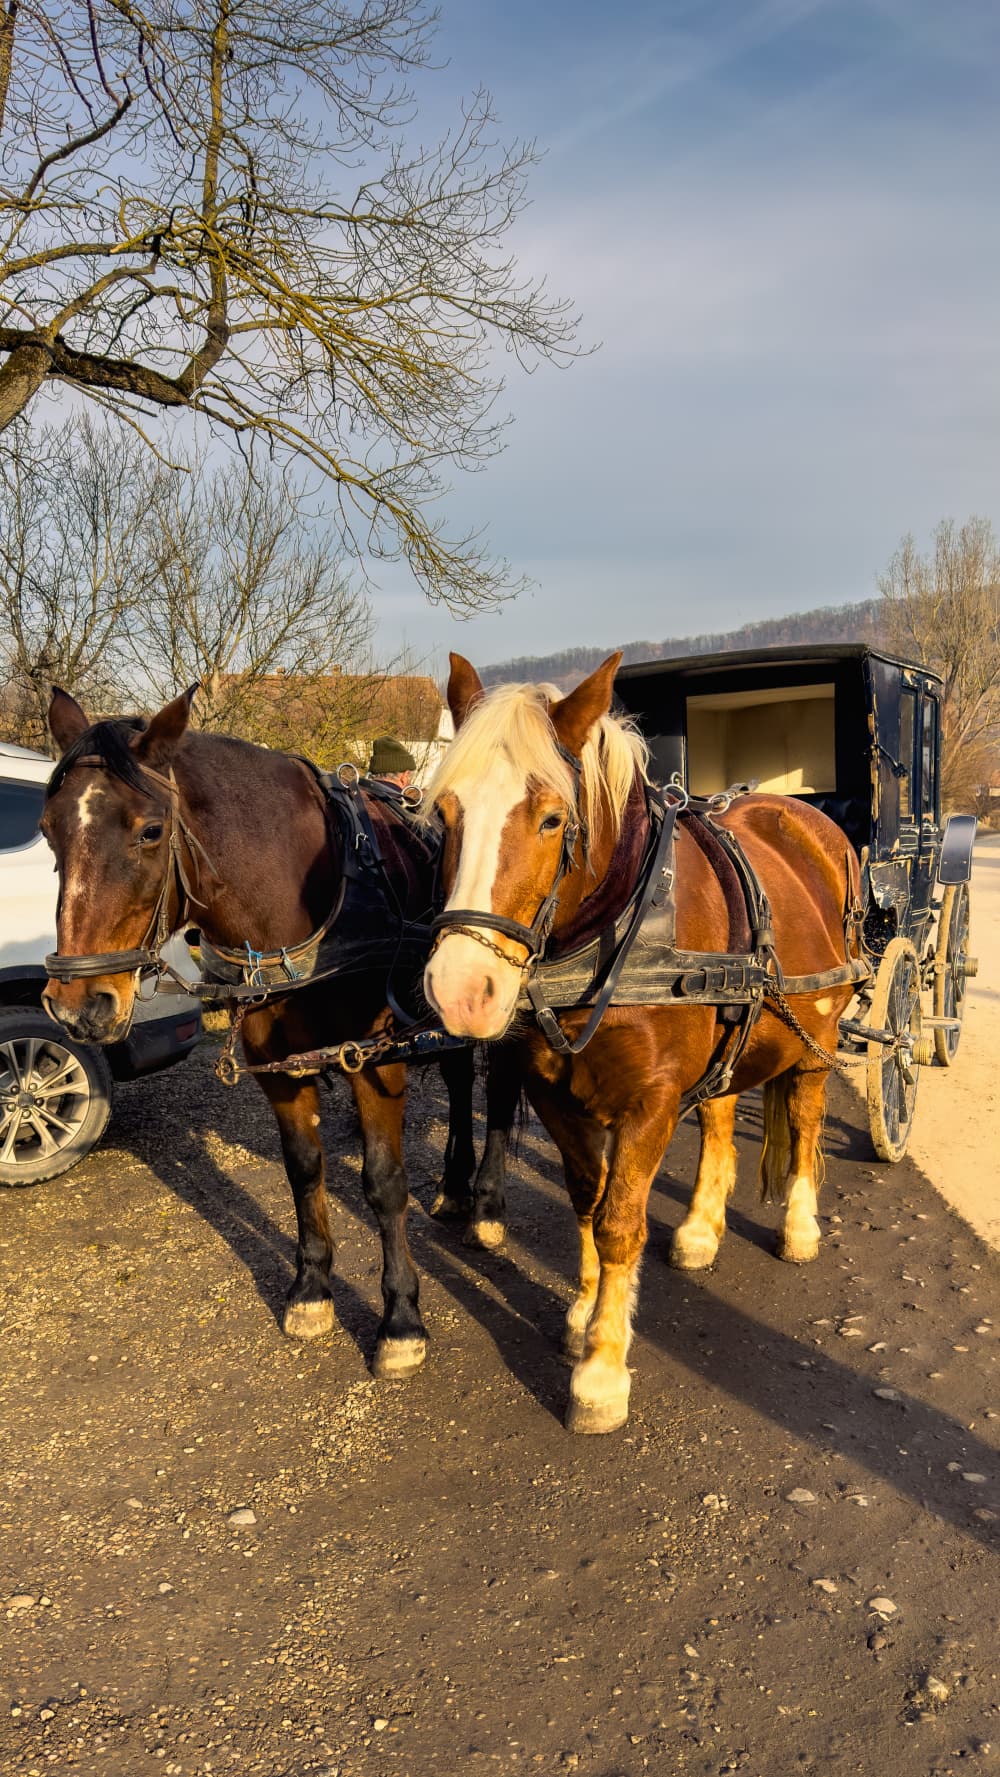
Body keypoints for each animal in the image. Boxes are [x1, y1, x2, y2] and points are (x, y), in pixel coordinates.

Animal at [40, 685, 515, 1378]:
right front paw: (312, 1290)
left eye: (150, 831)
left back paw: (486, 1206)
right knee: (457, 1081)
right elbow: (304, 1170)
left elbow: (383, 1183)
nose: (78, 1005)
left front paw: (401, 1320)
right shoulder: (280, 1069)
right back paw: (454, 1189)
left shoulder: (374, 1061)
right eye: (49, 831)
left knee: (500, 1094)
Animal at [422, 653, 870, 1428]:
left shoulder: (652, 1103)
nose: (459, 989)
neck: (621, 930)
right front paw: (582, 1311)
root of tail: (802, 813)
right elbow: (586, 1200)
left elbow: (620, 1221)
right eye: (445, 813)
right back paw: (699, 1227)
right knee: (720, 1119)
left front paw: (601, 1370)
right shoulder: (555, 1096)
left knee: (808, 1121)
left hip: (817, 1037)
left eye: (552, 818)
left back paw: (800, 1227)